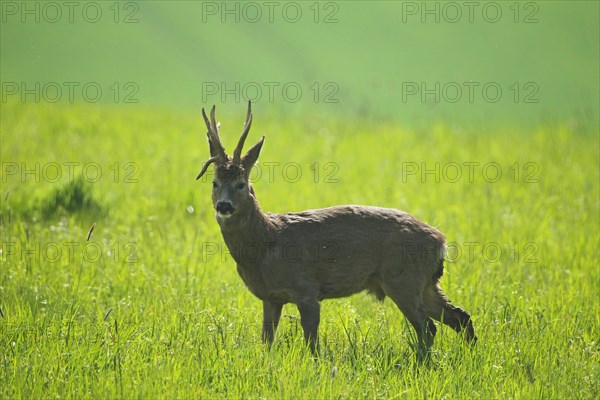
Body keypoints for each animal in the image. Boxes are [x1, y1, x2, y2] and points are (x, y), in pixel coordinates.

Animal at [198, 101, 478, 354]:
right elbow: (267, 341)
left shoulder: (307, 288)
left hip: (403, 279)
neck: (266, 243)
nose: (224, 205)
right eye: (214, 183)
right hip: (426, 283)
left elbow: (312, 341)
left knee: (428, 327)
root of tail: (441, 241)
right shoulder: (271, 297)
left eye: (241, 184)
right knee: (459, 316)